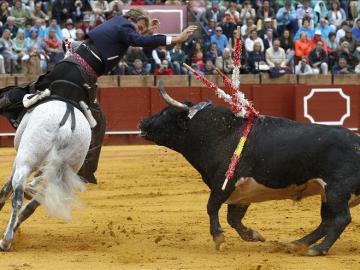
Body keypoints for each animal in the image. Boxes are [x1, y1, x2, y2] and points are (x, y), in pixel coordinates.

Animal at [0, 99, 91, 251]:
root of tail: (66, 128)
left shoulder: (17, 163)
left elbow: (5, 190)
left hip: (25, 161)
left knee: (17, 198)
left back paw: (6, 240)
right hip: (60, 176)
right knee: (30, 207)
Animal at [139, 85, 360, 256]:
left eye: (165, 113)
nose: (142, 122)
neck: (220, 133)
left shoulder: (223, 183)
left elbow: (211, 207)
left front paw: (218, 238)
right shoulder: (240, 193)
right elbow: (233, 218)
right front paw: (253, 235)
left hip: (336, 190)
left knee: (341, 219)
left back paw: (317, 249)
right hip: (326, 193)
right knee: (327, 221)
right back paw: (297, 244)